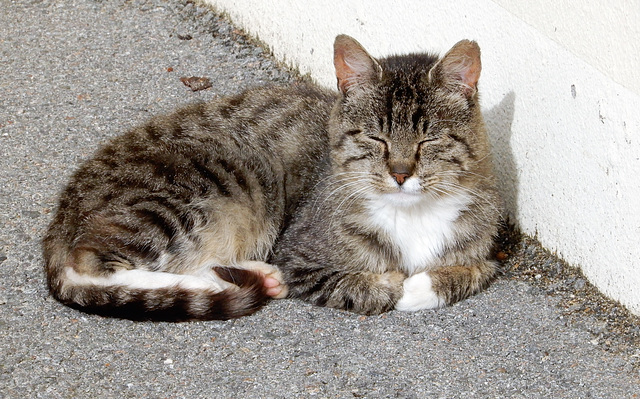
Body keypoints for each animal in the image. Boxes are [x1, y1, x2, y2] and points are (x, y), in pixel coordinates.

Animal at [43, 34, 500, 322]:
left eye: (429, 140)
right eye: (376, 138)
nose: (401, 173)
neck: (412, 215)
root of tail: (61, 216)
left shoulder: (489, 248)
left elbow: (474, 272)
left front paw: (427, 283)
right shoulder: (297, 255)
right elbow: (368, 288)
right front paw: (393, 285)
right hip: (193, 188)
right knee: (88, 264)